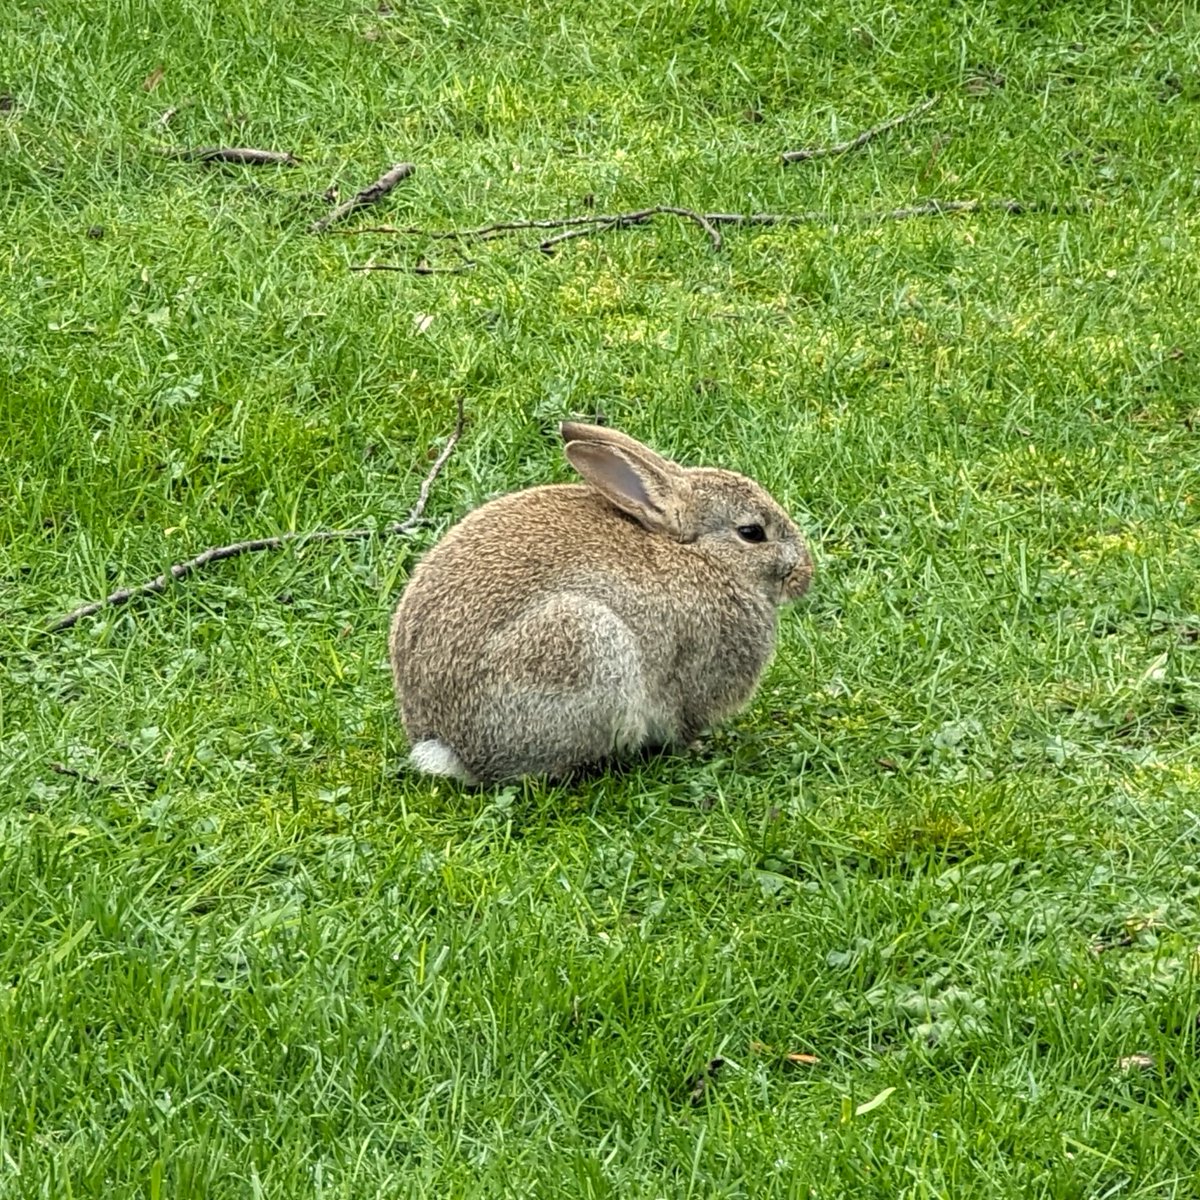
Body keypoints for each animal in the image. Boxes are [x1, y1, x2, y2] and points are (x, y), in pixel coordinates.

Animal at [388, 424, 811, 787]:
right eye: (752, 533)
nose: (804, 576)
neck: (703, 556)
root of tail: (448, 746)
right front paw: (696, 747)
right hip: (580, 643)